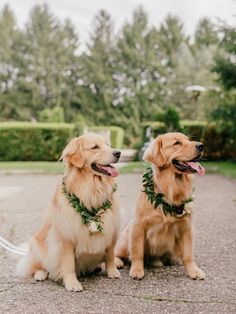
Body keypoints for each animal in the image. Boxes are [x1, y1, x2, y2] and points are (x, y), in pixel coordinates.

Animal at [16, 133, 121, 292]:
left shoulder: (111, 229)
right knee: (37, 265)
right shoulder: (66, 236)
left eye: (108, 145)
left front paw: (112, 271)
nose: (118, 153)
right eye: (95, 147)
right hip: (36, 244)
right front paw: (72, 283)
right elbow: (68, 264)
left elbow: (109, 255)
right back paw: (41, 273)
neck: (91, 188)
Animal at [115, 132, 206, 280]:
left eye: (188, 140)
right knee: (117, 252)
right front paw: (137, 270)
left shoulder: (186, 227)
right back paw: (117, 262)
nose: (201, 146)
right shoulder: (138, 225)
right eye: (177, 143)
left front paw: (194, 271)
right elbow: (137, 251)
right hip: (125, 237)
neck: (170, 190)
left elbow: (188, 254)